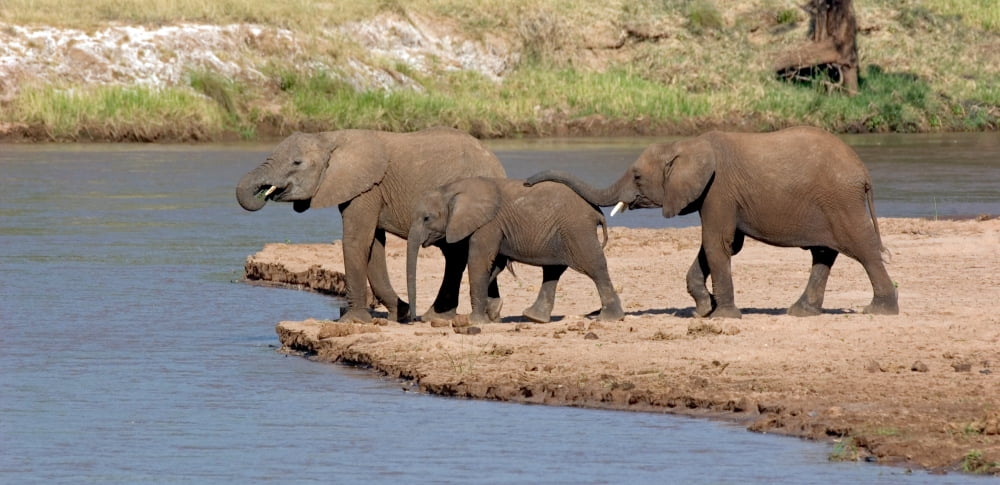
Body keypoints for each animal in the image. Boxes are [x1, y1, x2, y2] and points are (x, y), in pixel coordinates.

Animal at [236, 127, 506, 323]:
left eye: (296, 163)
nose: (264, 193)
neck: (330, 137)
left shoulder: (366, 188)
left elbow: (357, 241)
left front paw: (353, 321)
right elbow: (374, 245)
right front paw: (400, 312)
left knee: (457, 254)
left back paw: (440, 316)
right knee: (457, 254)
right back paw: (485, 312)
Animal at [407, 177, 625, 324]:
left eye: (427, 218)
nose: (413, 319)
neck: (453, 189)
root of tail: (597, 212)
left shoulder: (489, 225)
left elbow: (479, 262)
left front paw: (477, 321)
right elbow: (494, 266)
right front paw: (493, 313)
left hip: (577, 230)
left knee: (595, 267)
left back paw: (610, 318)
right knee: (553, 270)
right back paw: (534, 318)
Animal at [525, 126, 899, 319]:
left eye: (637, 176)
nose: (527, 183)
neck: (685, 143)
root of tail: (863, 172)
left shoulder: (719, 189)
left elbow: (718, 243)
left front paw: (722, 316)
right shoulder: (715, 194)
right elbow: (722, 245)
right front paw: (703, 309)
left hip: (841, 200)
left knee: (861, 248)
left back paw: (879, 310)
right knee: (823, 253)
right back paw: (800, 311)